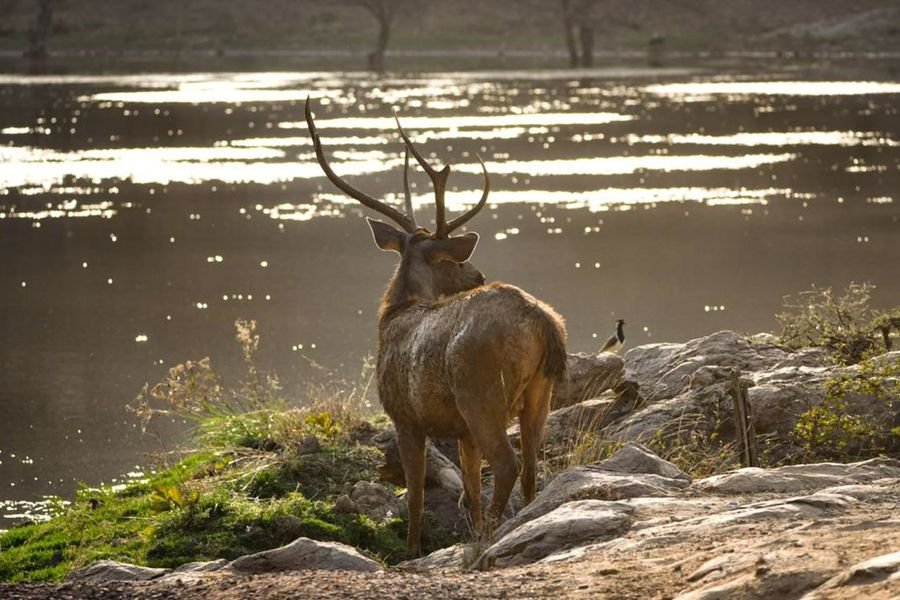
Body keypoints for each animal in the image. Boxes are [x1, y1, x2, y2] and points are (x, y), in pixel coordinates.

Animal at [305, 100, 567, 557]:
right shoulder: (459, 429)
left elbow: (415, 493)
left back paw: (490, 535)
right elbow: (469, 487)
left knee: (508, 462)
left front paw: (411, 550)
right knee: (533, 465)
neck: (394, 314)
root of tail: (543, 320)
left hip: (481, 391)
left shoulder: (404, 415)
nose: (477, 274)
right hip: (540, 390)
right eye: (450, 260)